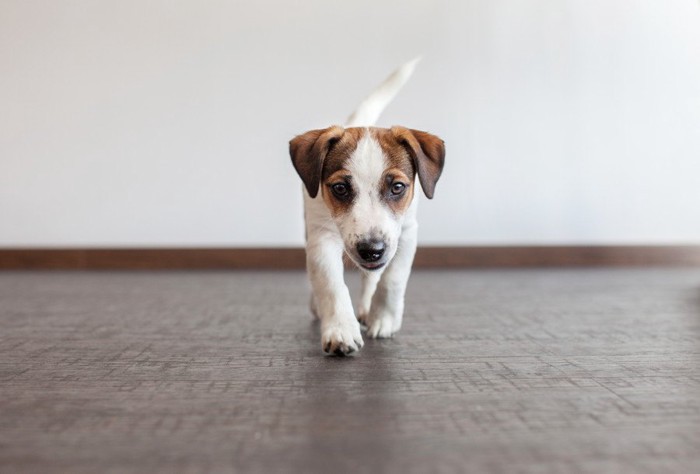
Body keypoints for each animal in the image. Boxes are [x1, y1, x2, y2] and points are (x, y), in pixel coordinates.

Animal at [292, 58, 446, 356]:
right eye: (340, 188)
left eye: (397, 187)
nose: (372, 250)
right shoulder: (321, 238)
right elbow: (330, 284)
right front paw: (341, 330)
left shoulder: (406, 233)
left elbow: (392, 278)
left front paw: (383, 319)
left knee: (371, 278)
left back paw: (366, 309)